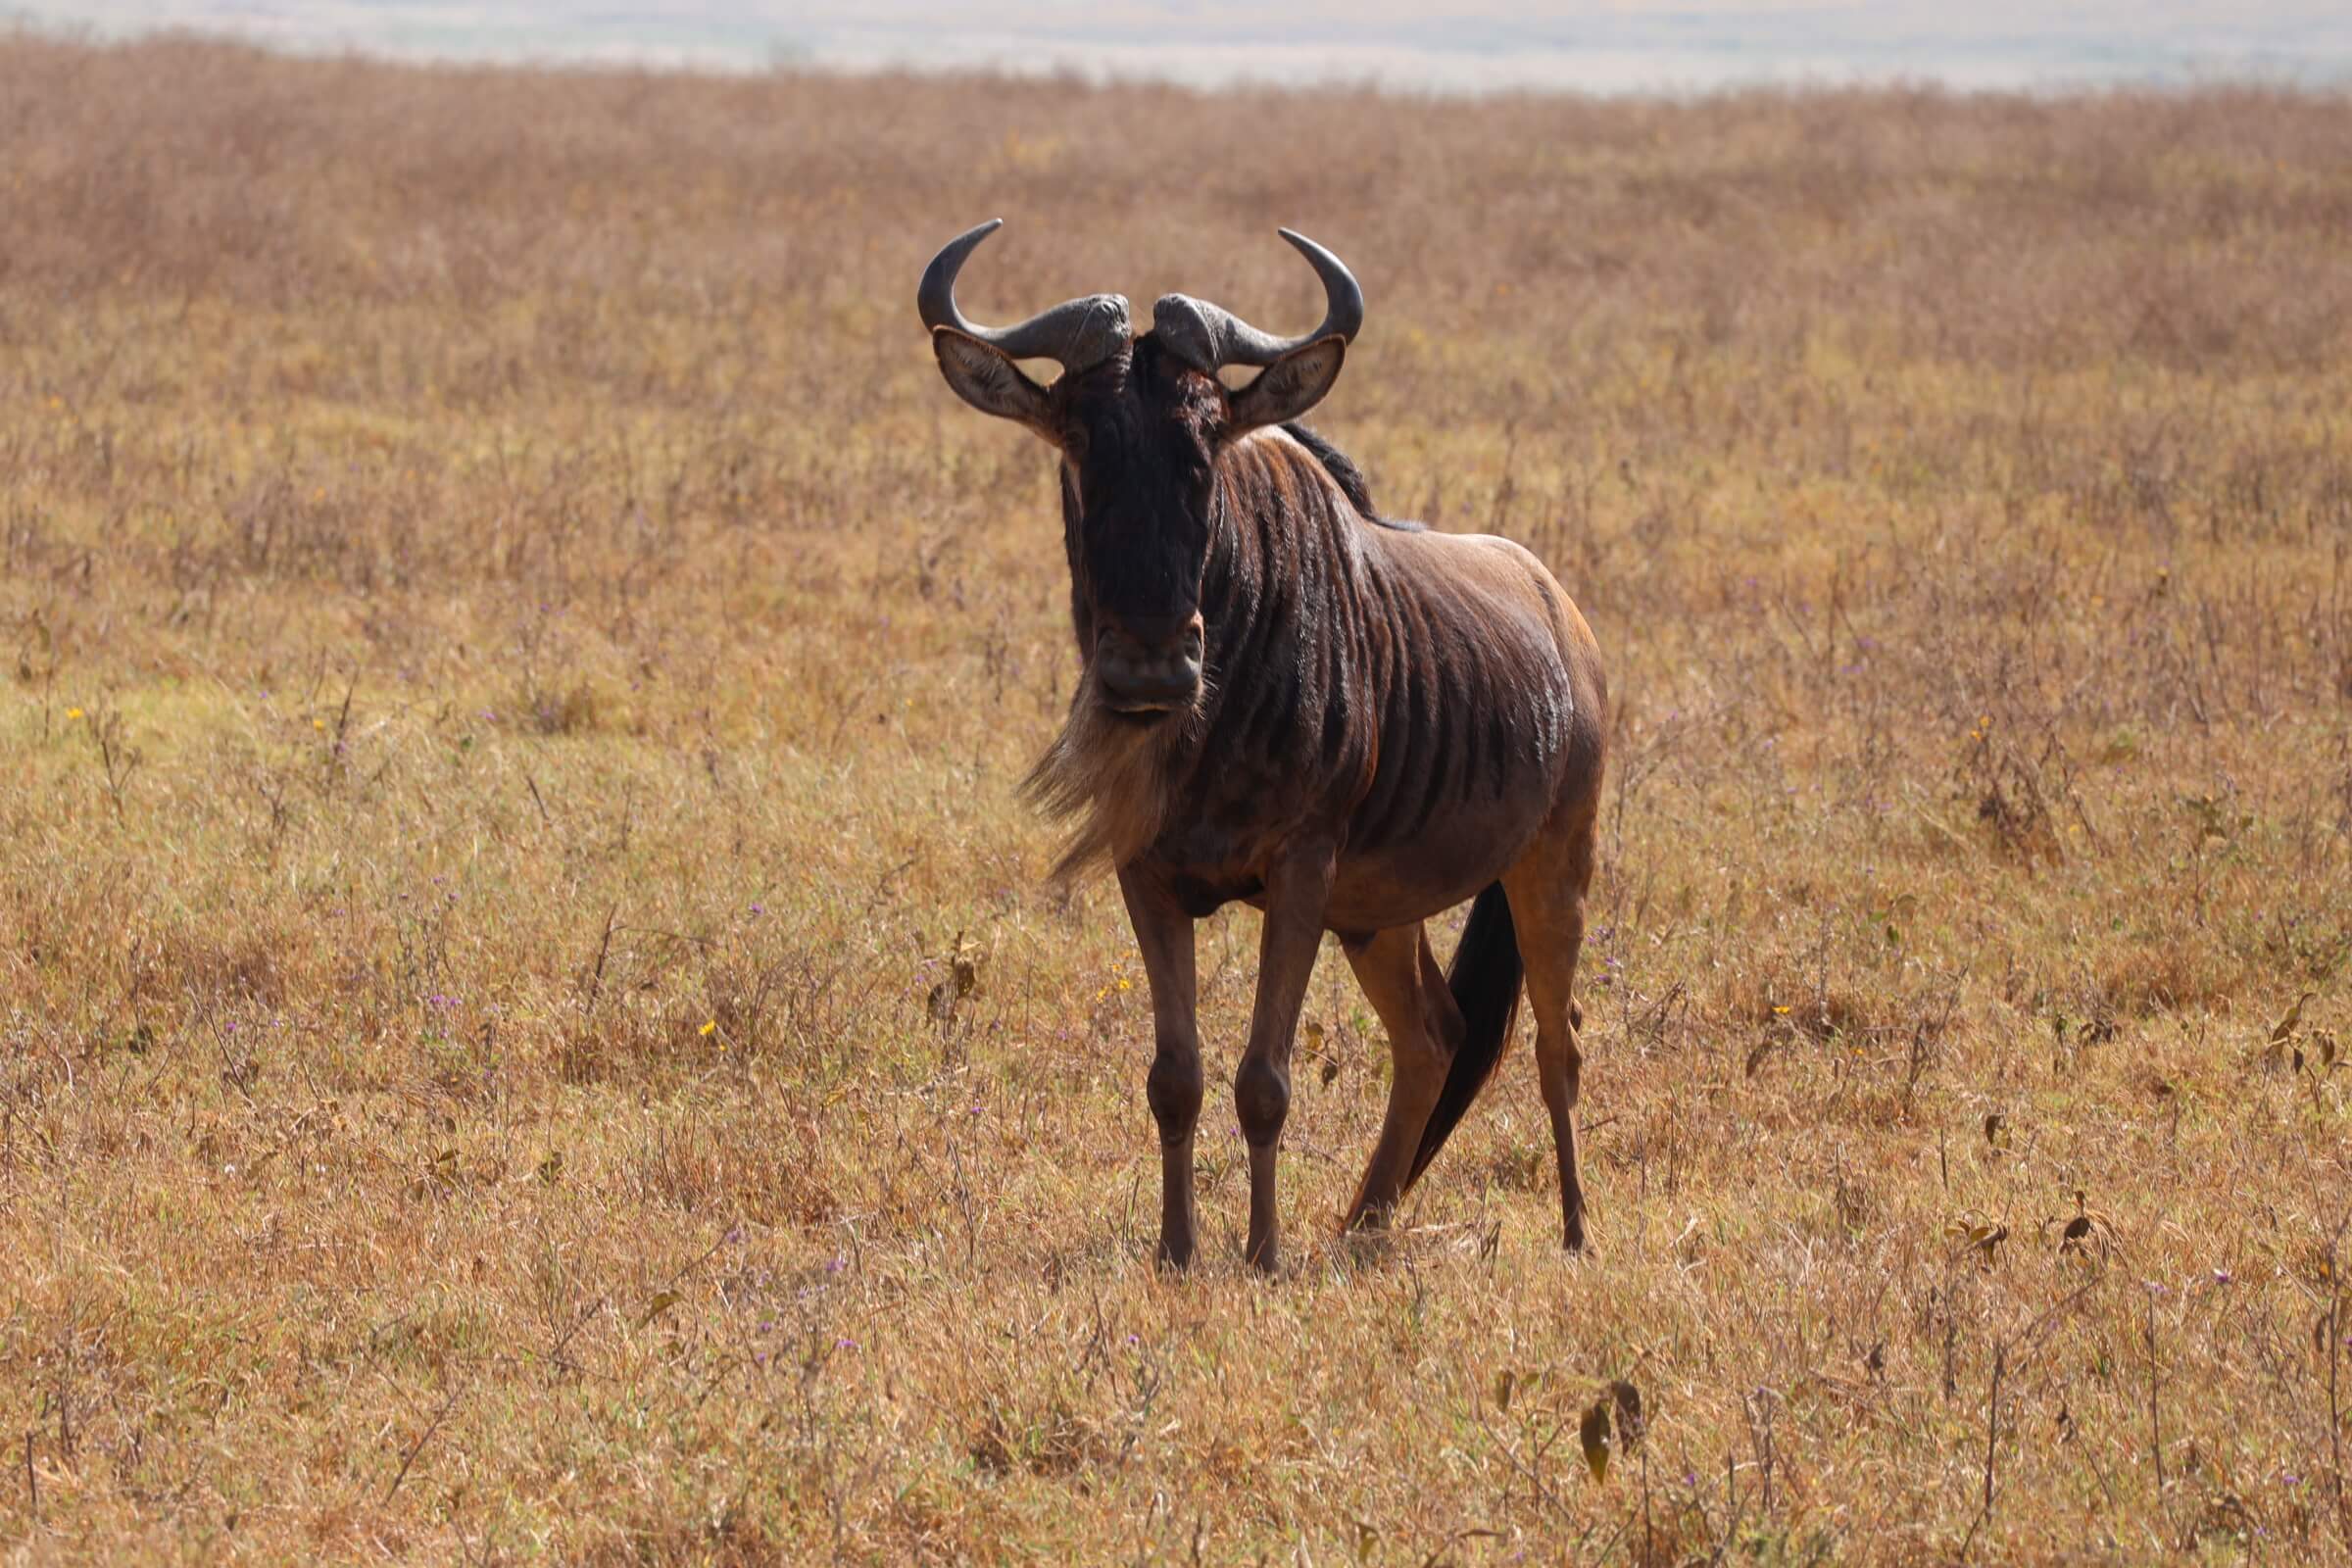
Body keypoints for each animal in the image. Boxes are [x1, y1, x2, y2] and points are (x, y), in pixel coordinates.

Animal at [920, 221, 1607, 1271]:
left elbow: (1264, 1078)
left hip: (1553, 864)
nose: (1151, 669)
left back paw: (1573, 1231)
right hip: (1378, 913)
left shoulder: (1300, 871)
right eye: (1081, 443)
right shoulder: (1150, 875)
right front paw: (1177, 1254)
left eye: (1206, 445)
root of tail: (1566, 619)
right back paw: (1365, 1223)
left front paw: (1262, 1256)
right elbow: (1176, 1075)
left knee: (1555, 1037)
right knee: (1434, 1035)